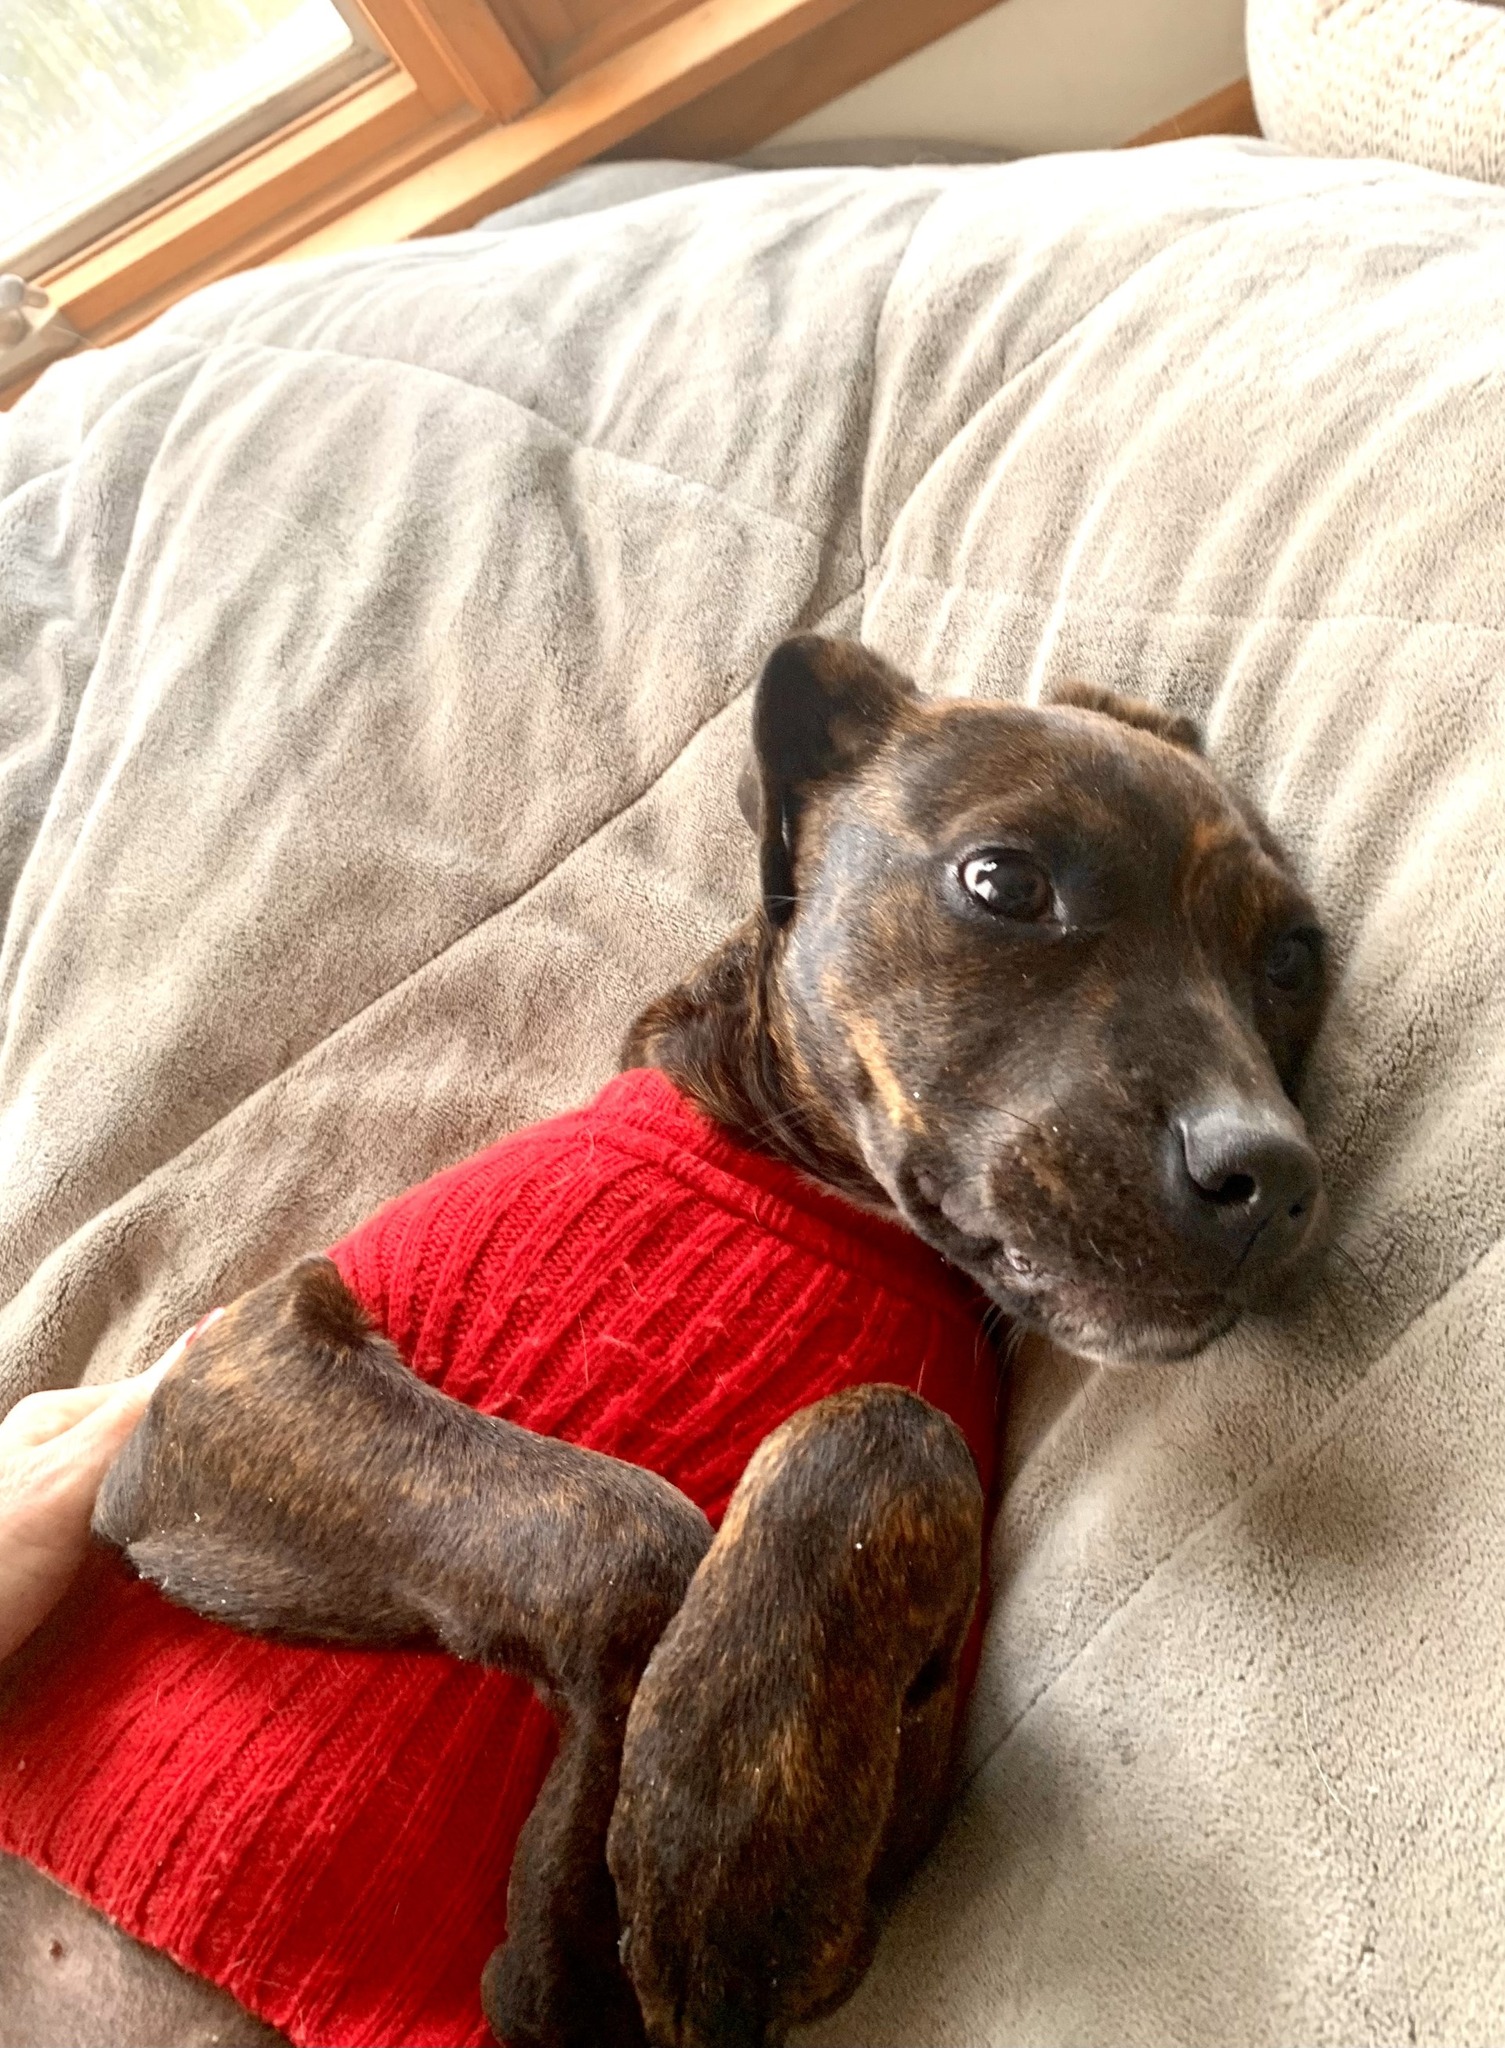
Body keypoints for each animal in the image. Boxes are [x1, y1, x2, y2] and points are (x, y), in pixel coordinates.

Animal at [0, 638, 1326, 2048]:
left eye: (1293, 959)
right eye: (1004, 882)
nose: (1270, 1176)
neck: (809, 1196)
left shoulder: (884, 1857)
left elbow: (878, 1429)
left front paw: (706, 1846)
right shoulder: (237, 1378)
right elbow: (627, 1529)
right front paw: (671, 1847)